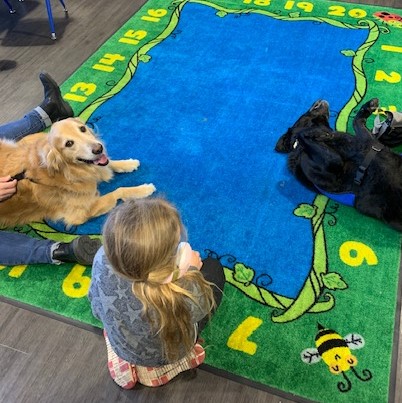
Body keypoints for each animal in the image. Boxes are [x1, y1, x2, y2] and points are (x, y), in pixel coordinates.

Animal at [276, 98, 402, 232]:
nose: (318, 101)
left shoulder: (369, 141)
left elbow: (357, 122)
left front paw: (369, 106)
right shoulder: (334, 166)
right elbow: (303, 134)